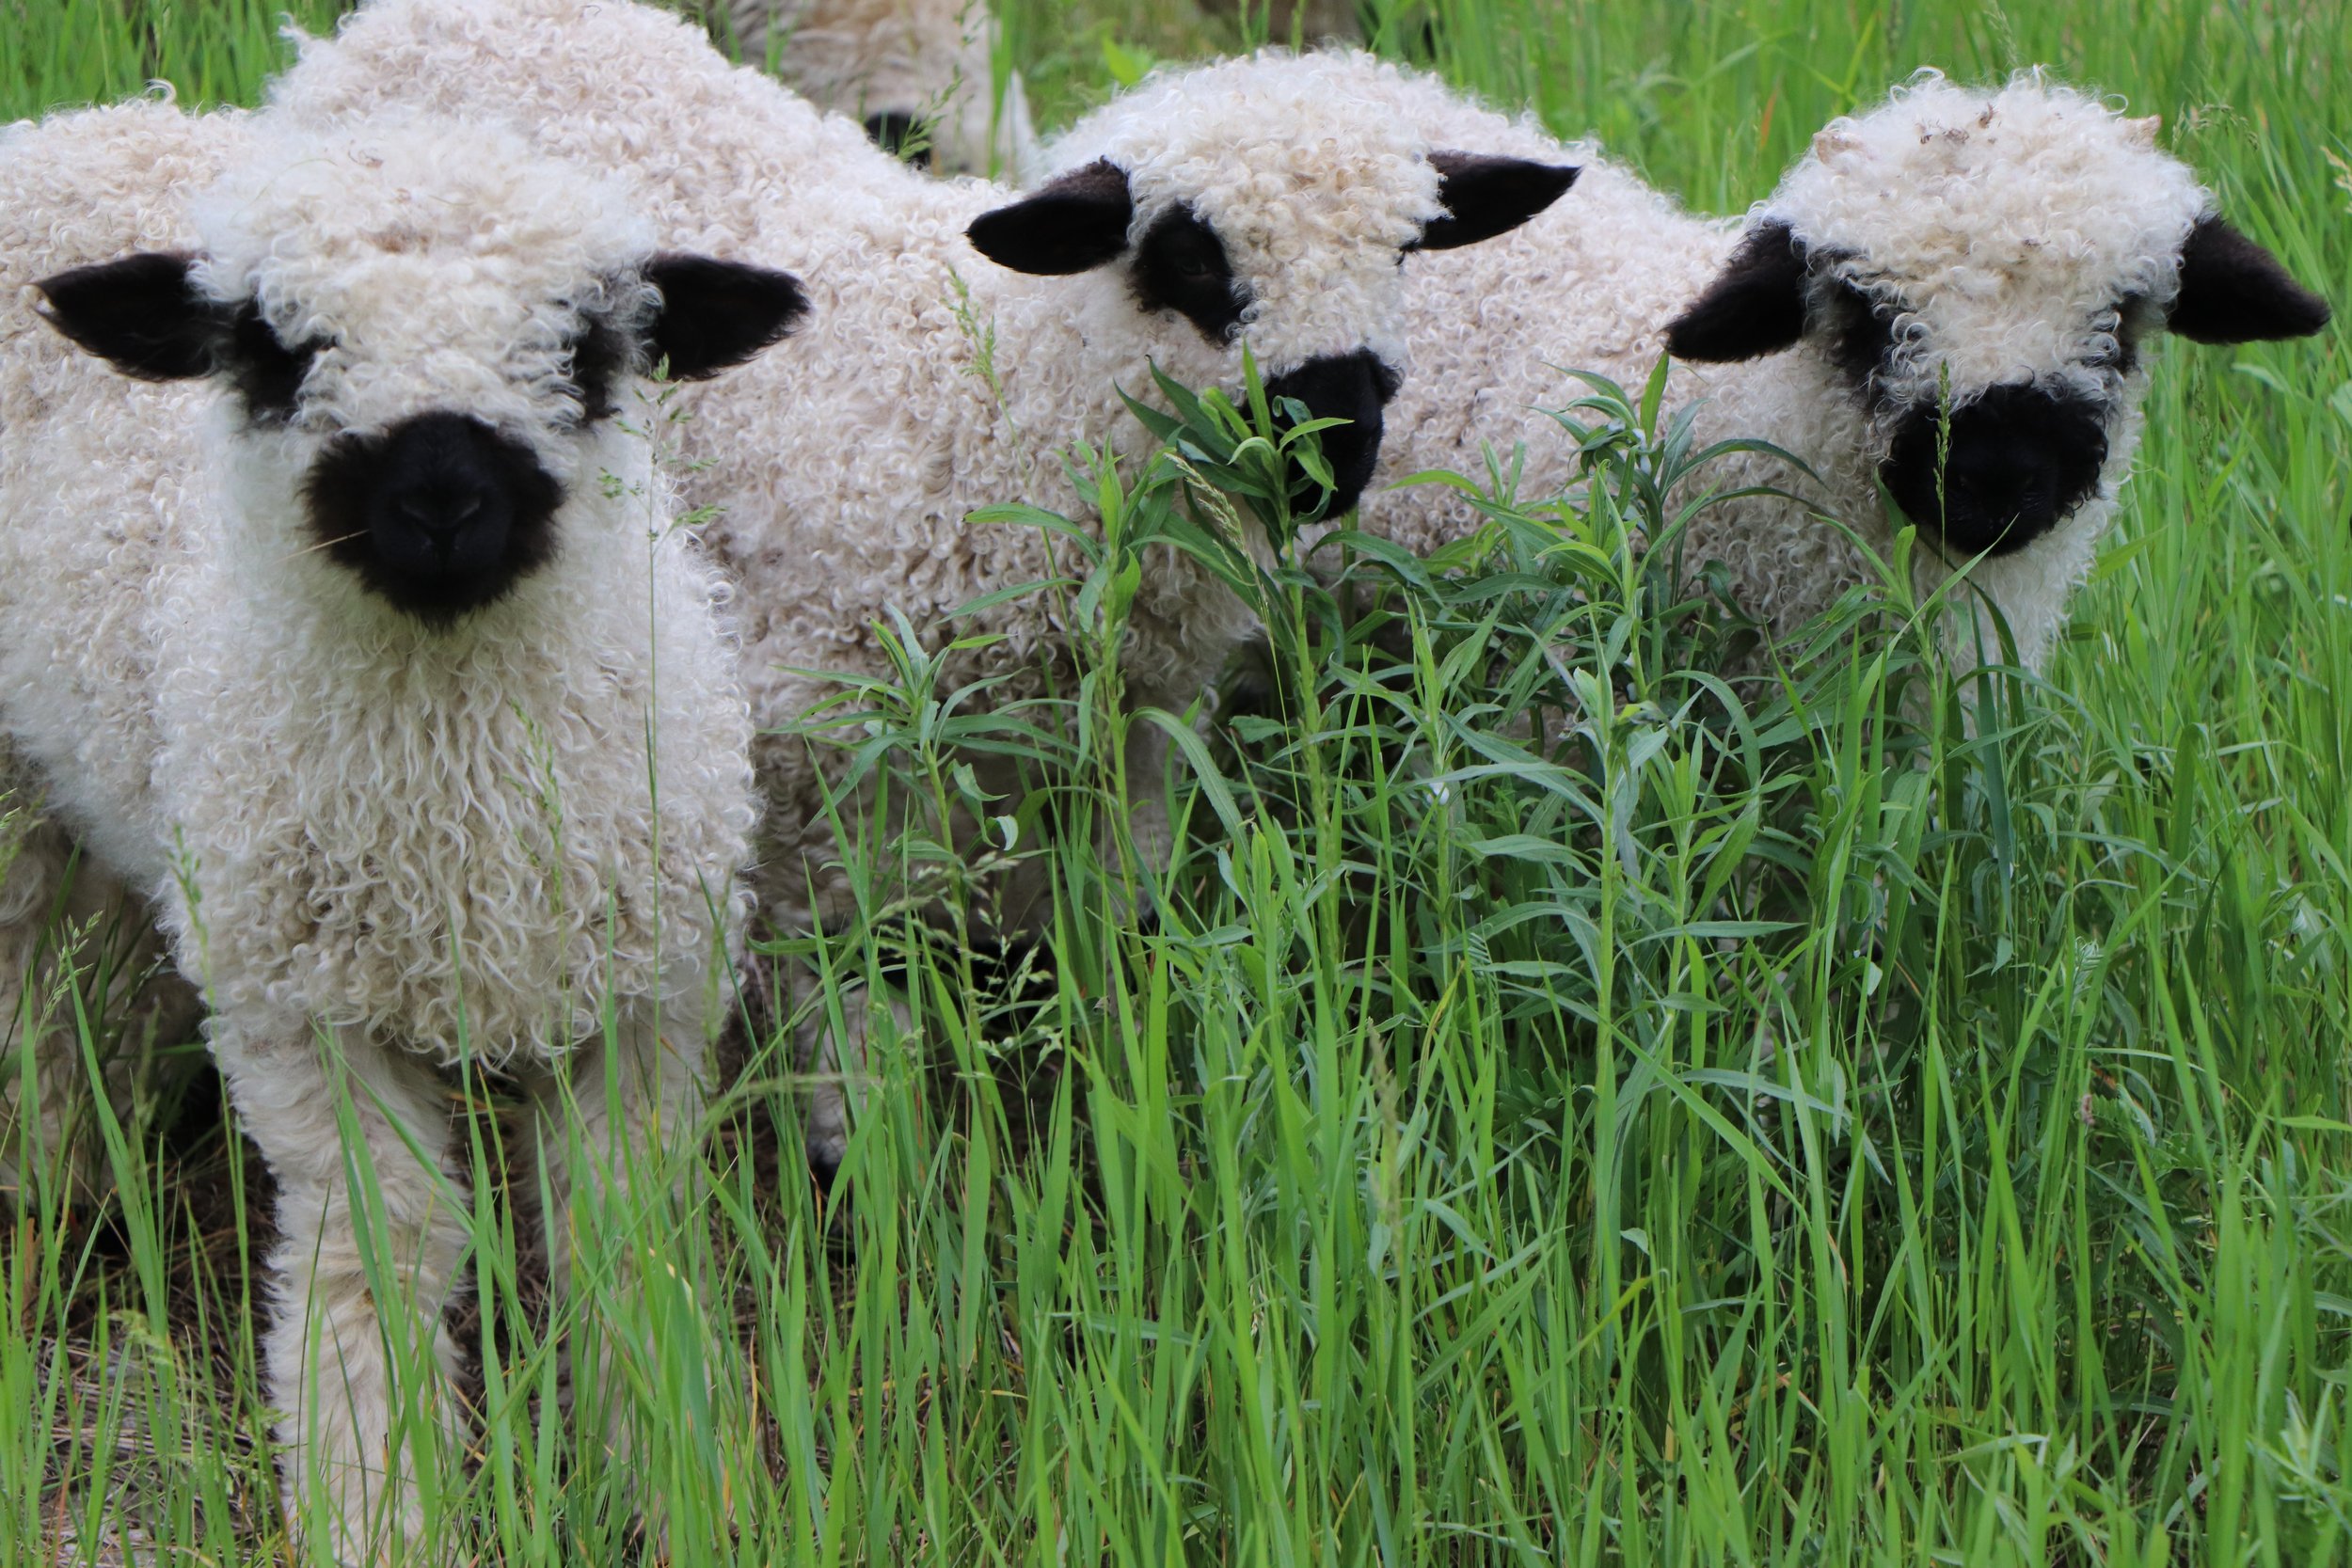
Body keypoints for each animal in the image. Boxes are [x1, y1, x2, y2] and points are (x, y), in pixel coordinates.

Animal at [1, 101, 805, 1558]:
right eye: (273, 350)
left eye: (587, 350)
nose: (438, 499)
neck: (452, 809)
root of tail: (77, 125)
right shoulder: (308, 1010)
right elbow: (372, 1254)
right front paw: (374, 1504)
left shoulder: (646, 992)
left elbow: (621, 1239)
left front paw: (669, 1482)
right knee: (30, 988)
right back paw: (56, 1215)